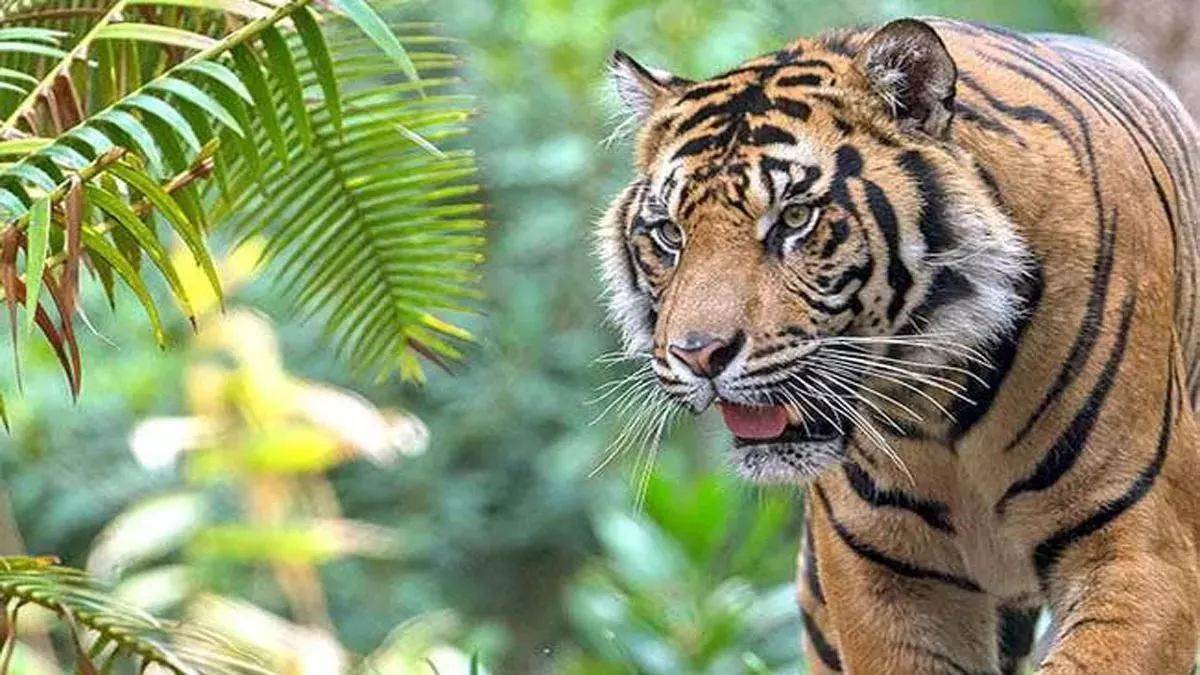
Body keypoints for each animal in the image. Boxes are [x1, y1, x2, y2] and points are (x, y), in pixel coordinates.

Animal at [596, 16, 1200, 674]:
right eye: (668, 233)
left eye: (795, 218)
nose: (699, 355)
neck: (941, 411)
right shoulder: (885, 577)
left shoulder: (1141, 548)